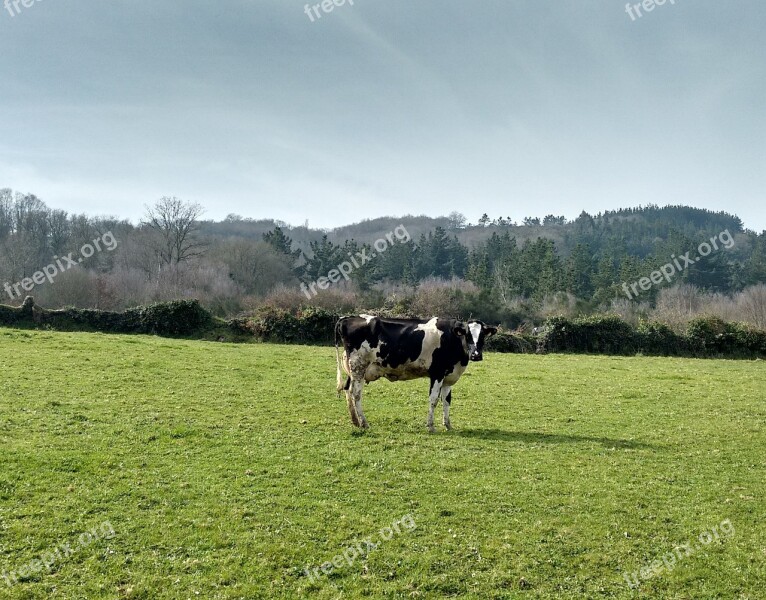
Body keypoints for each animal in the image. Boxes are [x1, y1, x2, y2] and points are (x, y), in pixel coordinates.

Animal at [336, 314, 498, 432]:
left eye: (482, 335)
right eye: (467, 335)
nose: (476, 355)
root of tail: (349, 317)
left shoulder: (448, 377)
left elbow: (446, 401)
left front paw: (448, 425)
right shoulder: (437, 373)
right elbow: (433, 399)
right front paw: (431, 426)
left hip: (353, 370)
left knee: (348, 390)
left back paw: (356, 421)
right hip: (358, 366)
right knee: (356, 393)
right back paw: (364, 423)